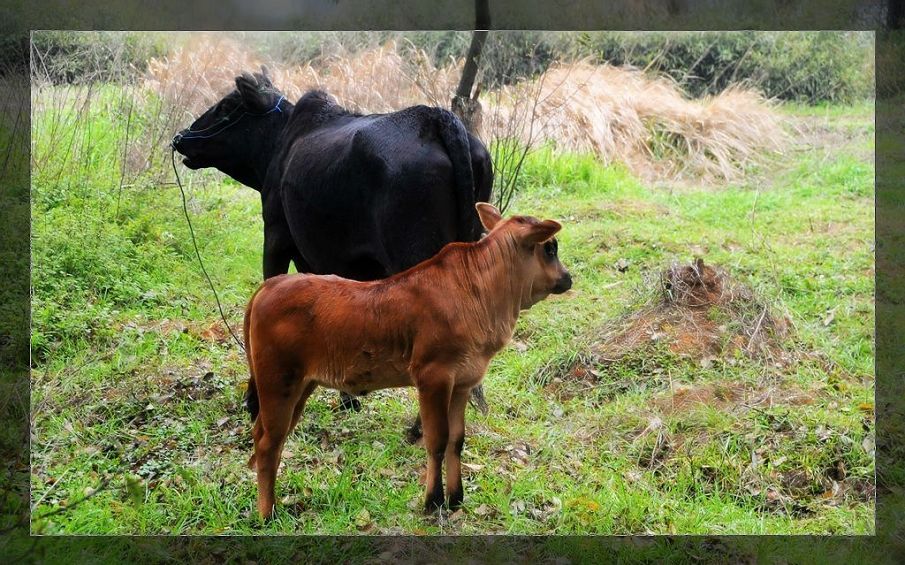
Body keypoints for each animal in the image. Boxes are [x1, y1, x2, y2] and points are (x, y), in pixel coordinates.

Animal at [172, 69, 490, 440]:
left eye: (225, 106)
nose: (181, 138)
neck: (279, 143)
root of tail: (437, 118)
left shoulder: (276, 237)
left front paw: (255, 401)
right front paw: (348, 398)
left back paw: (420, 429)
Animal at [244, 202, 568, 516]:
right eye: (550, 249)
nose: (568, 277)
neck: (479, 295)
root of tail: (269, 286)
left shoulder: (463, 382)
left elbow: (457, 440)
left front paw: (456, 499)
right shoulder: (433, 378)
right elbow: (437, 440)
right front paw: (433, 501)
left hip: (300, 385)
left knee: (266, 436)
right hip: (278, 381)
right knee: (268, 443)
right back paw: (267, 513)